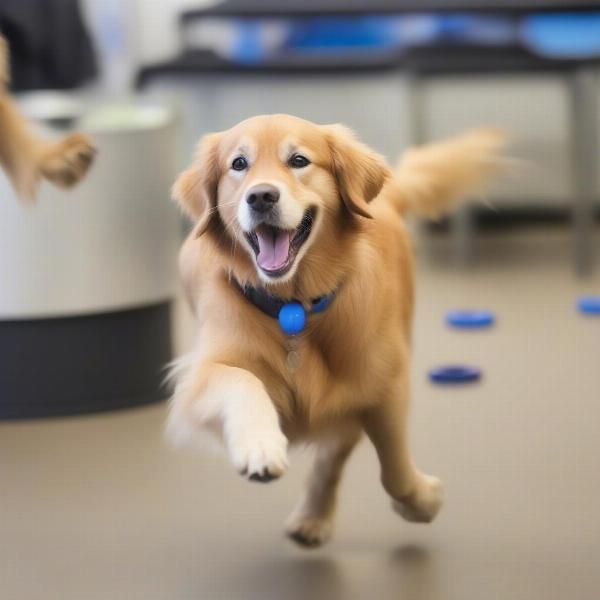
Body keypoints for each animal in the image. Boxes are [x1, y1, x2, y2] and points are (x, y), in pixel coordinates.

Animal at [166, 113, 504, 548]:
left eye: (298, 160)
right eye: (238, 165)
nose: (261, 197)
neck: (293, 307)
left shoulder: (381, 386)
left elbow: (394, 469)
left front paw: (422, 502)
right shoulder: (198, 379)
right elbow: (242, 380)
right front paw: (259, 446)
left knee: (332, 457)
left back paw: (314, 516)